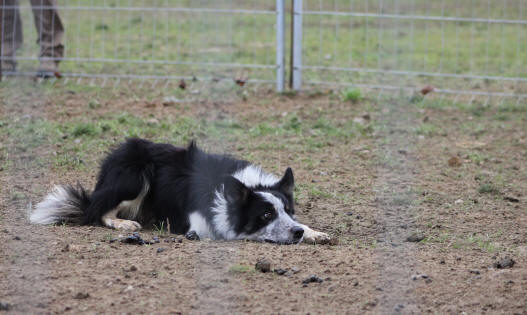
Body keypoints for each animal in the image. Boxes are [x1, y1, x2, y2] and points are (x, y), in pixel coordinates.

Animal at [29, 139, 330, 246]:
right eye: (266, 215)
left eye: (288, 211)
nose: (297, 233)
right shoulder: (198, 225)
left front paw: (313, 232)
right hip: (136, 173)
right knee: (98, 212)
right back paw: (123, 222)